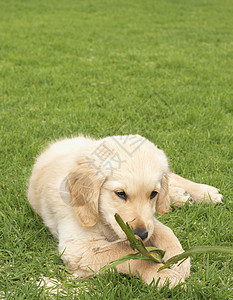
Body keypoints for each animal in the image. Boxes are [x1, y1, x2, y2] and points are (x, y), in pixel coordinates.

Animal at [28, 135, 223, 288]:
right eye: (120, 193)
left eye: (153, 194)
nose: (141, 234)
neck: (103, 219)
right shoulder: (80, 248)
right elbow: (130, 256)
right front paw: (162, 273)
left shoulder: (150, 219)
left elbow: (165, 231)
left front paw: (179, 260)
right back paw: (183, 196)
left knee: (171, 176)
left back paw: (205, 193)